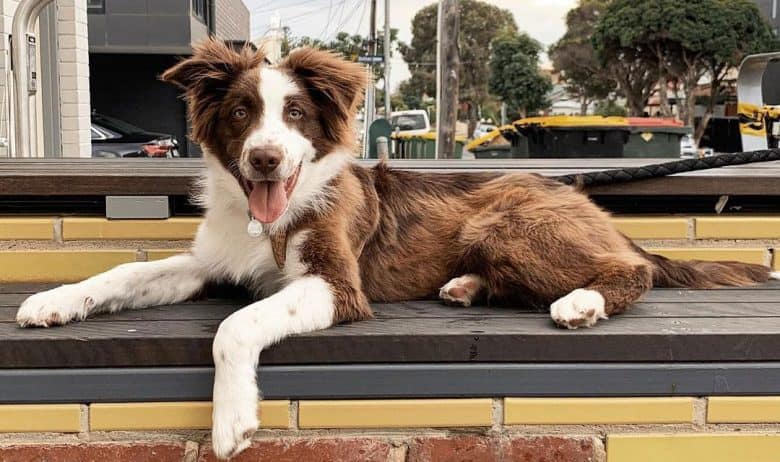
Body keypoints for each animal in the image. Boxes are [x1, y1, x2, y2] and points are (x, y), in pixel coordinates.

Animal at [13, 39, 780, 458]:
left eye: (295, 114)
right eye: (239, 114)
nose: (264, 160)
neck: (274, 215)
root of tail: (581, 197)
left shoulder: (336, 285)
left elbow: (235, 327)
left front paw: (232, 417)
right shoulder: (209, 264)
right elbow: (122, 272)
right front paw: (53, 301)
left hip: (508, 225)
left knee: (634, 271)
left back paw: (582, 301)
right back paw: (465, 287)